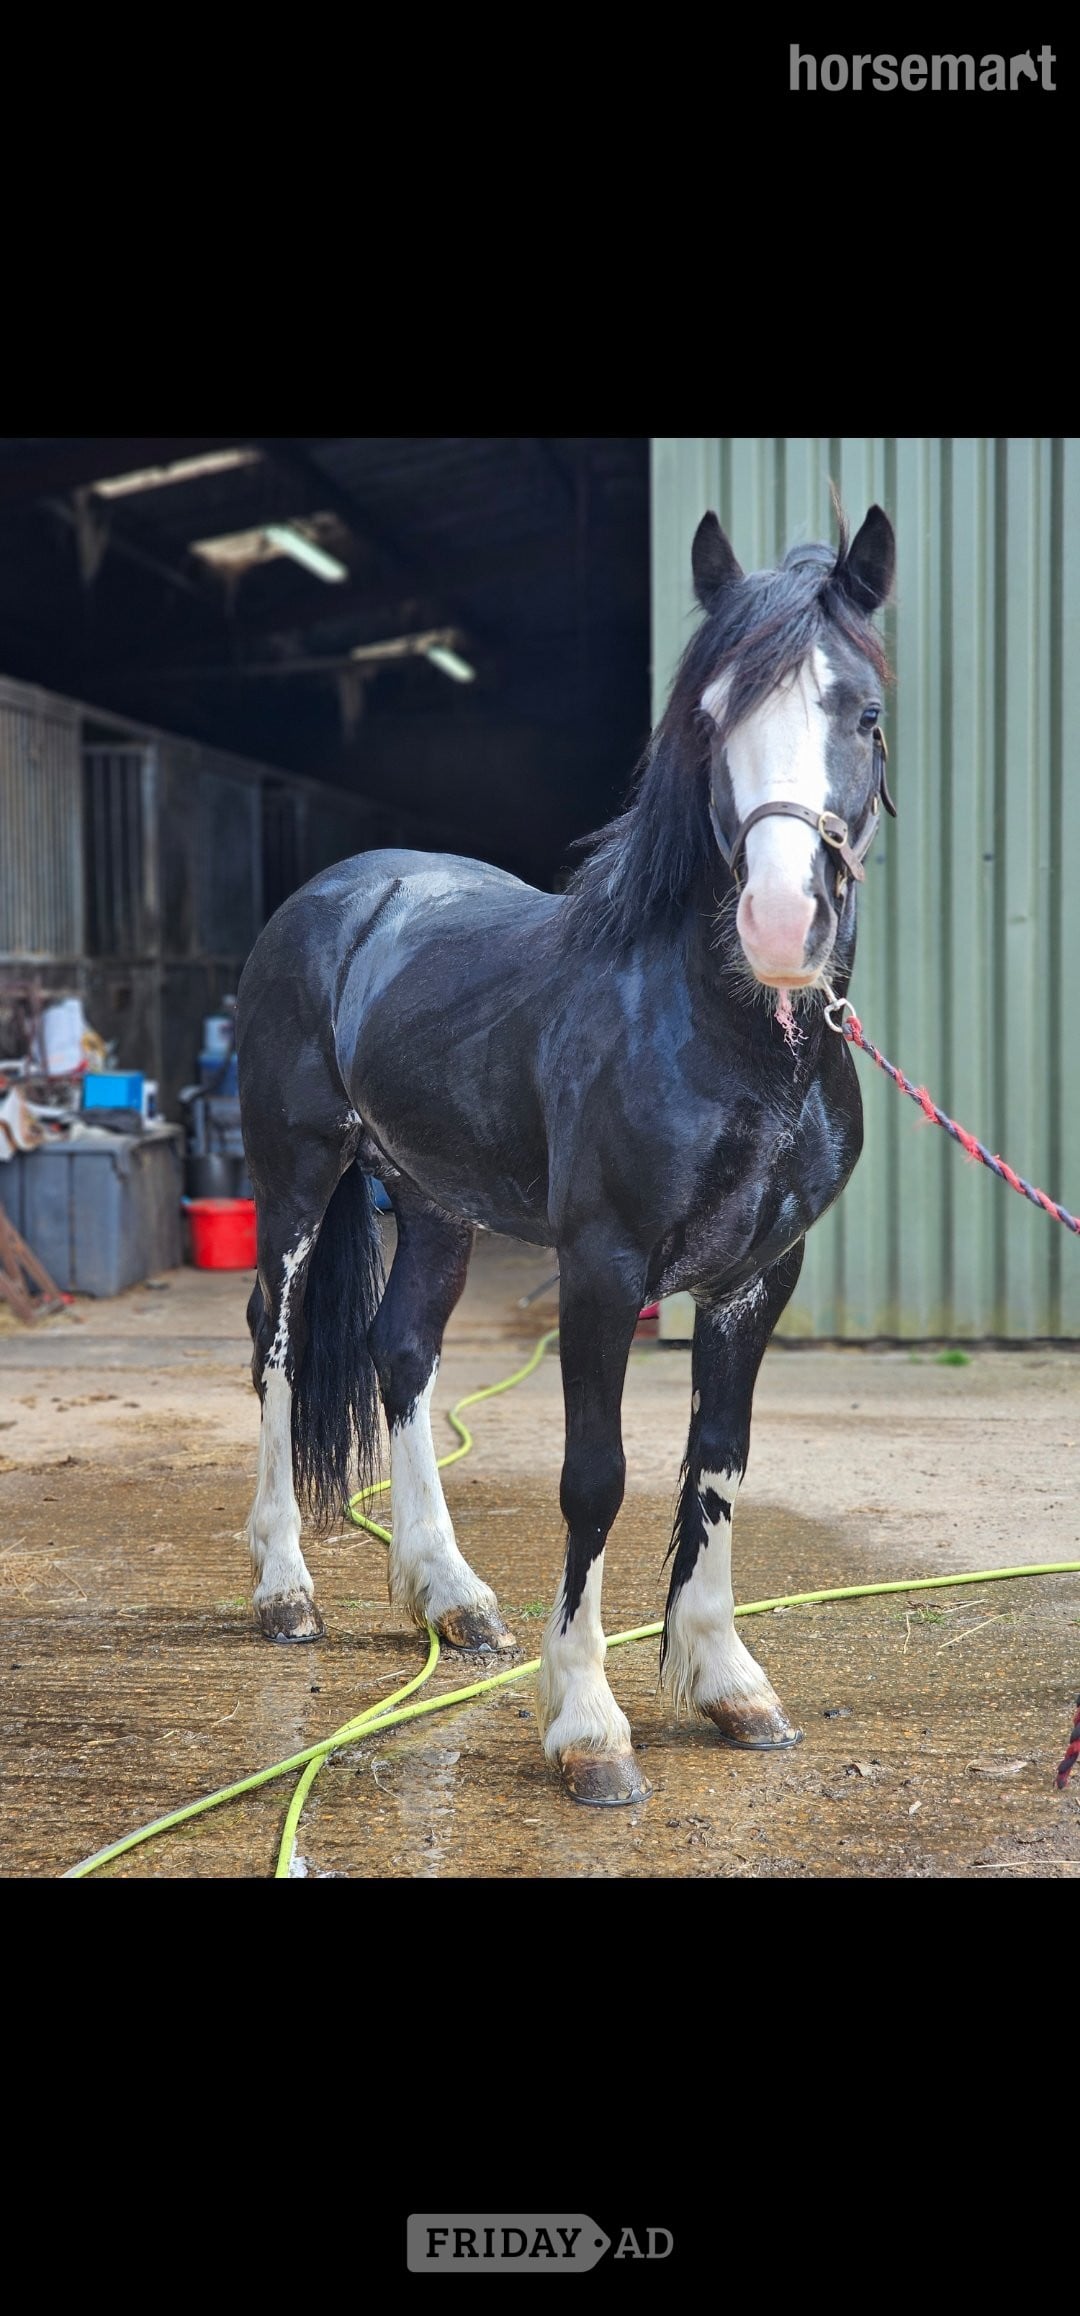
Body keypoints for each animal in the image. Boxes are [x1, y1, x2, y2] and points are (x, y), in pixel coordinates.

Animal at [236, 501, 896, 1806]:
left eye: (865, 713)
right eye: (710, 718)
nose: (780, 923)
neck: (724, 1037)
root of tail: (340, 892)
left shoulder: (760, 1278)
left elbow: (720, 1461)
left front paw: (729, 1685)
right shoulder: (602, 1268)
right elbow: (597, 1478)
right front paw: (588, 1727)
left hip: (435, 1205)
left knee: (399, 1353)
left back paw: (453, 1600)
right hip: (294, 1181)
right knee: (274, 1348)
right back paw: (286, 1589)